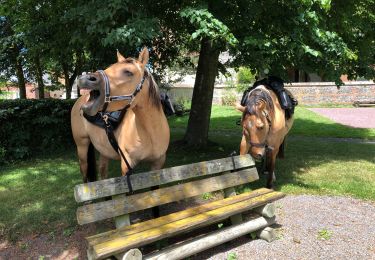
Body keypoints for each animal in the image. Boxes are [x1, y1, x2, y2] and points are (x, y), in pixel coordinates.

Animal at [71, 47, 170, 185]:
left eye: (128, 72)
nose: (83, 78)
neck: (151, 132)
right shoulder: (126, 166)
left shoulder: (157, 165)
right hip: (82, 148)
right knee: (85, 175)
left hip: (104, 151)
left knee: (103, 173)